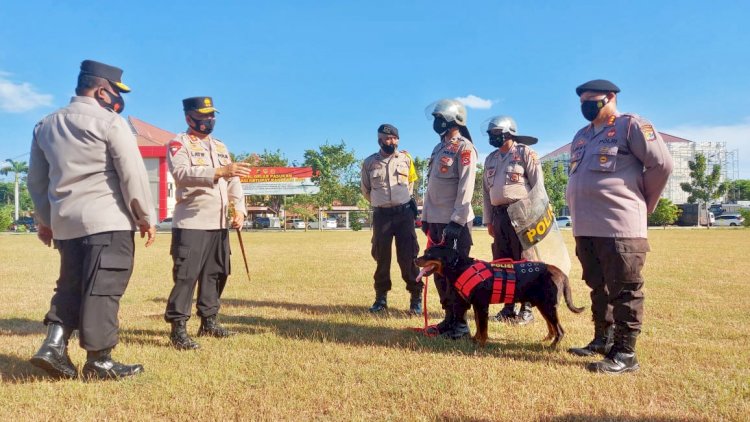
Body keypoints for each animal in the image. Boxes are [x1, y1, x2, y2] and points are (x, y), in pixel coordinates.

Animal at [418, 246, 588, 348]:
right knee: (551, 327)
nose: (415, 259)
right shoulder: (477, 306)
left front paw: (481, 344)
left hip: (548, 306)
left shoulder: (482, 305)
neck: (460, 266)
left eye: (429, 254)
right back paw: (546, 340)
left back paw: (552, 346)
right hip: (543, 305)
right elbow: (478, 325)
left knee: (560, 330)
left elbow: (483, 327)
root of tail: (562, 273)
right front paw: (475, 340)